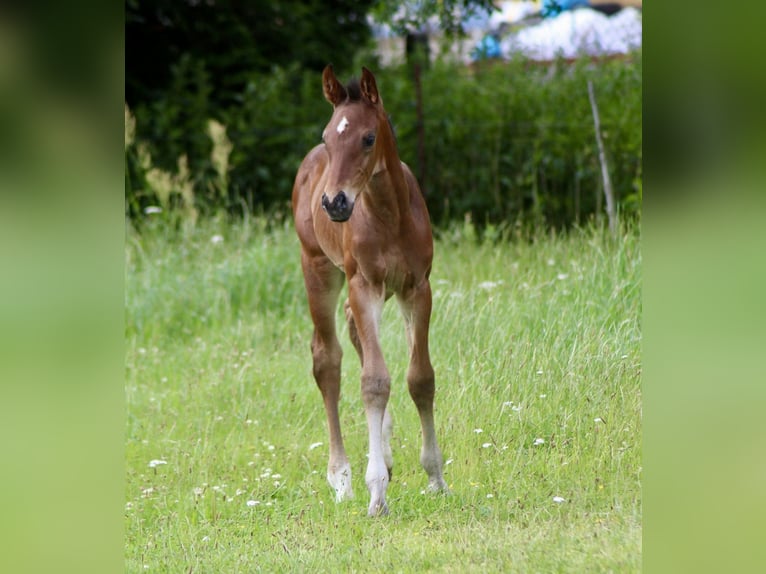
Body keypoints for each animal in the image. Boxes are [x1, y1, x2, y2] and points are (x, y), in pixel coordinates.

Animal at [294, 67, 450, 516]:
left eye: (367, 138)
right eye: (328, 136)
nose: (334, 202)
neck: (390, 215)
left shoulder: (417, 288)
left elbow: (420, 378)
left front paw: (436, 477)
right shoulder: (364, 285)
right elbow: (374, 381)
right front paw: (375, 492)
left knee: (354, 337)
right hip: (319, 269)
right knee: (327, 359)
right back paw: (342, 478)